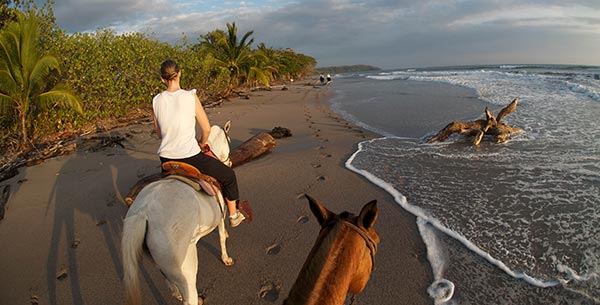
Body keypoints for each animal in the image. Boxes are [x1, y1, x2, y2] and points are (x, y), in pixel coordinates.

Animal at [121, 120, 232, 304]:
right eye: (228, 140)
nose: (229, 163)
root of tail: (143, 212)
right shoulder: (220, 217)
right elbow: (222, 237)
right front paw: (226, 259)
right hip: (185, 267)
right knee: (189, 296)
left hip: (160, 261)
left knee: (168, 281)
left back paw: (177, 293)